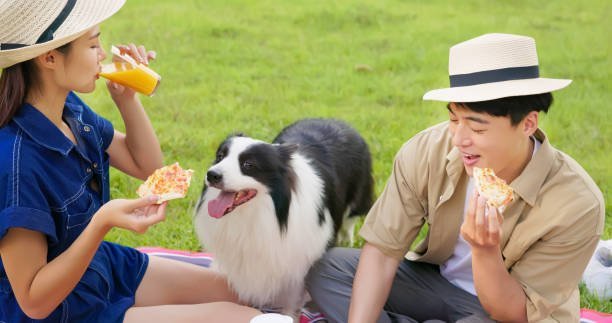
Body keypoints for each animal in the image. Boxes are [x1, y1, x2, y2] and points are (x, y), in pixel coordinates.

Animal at [194, 118, 372, 314]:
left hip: (357, 197)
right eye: (220, 156)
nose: (212, 174)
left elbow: (291, 302)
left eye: (248, 165)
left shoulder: (298, 260)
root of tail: (337, 121)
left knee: (349, 221)